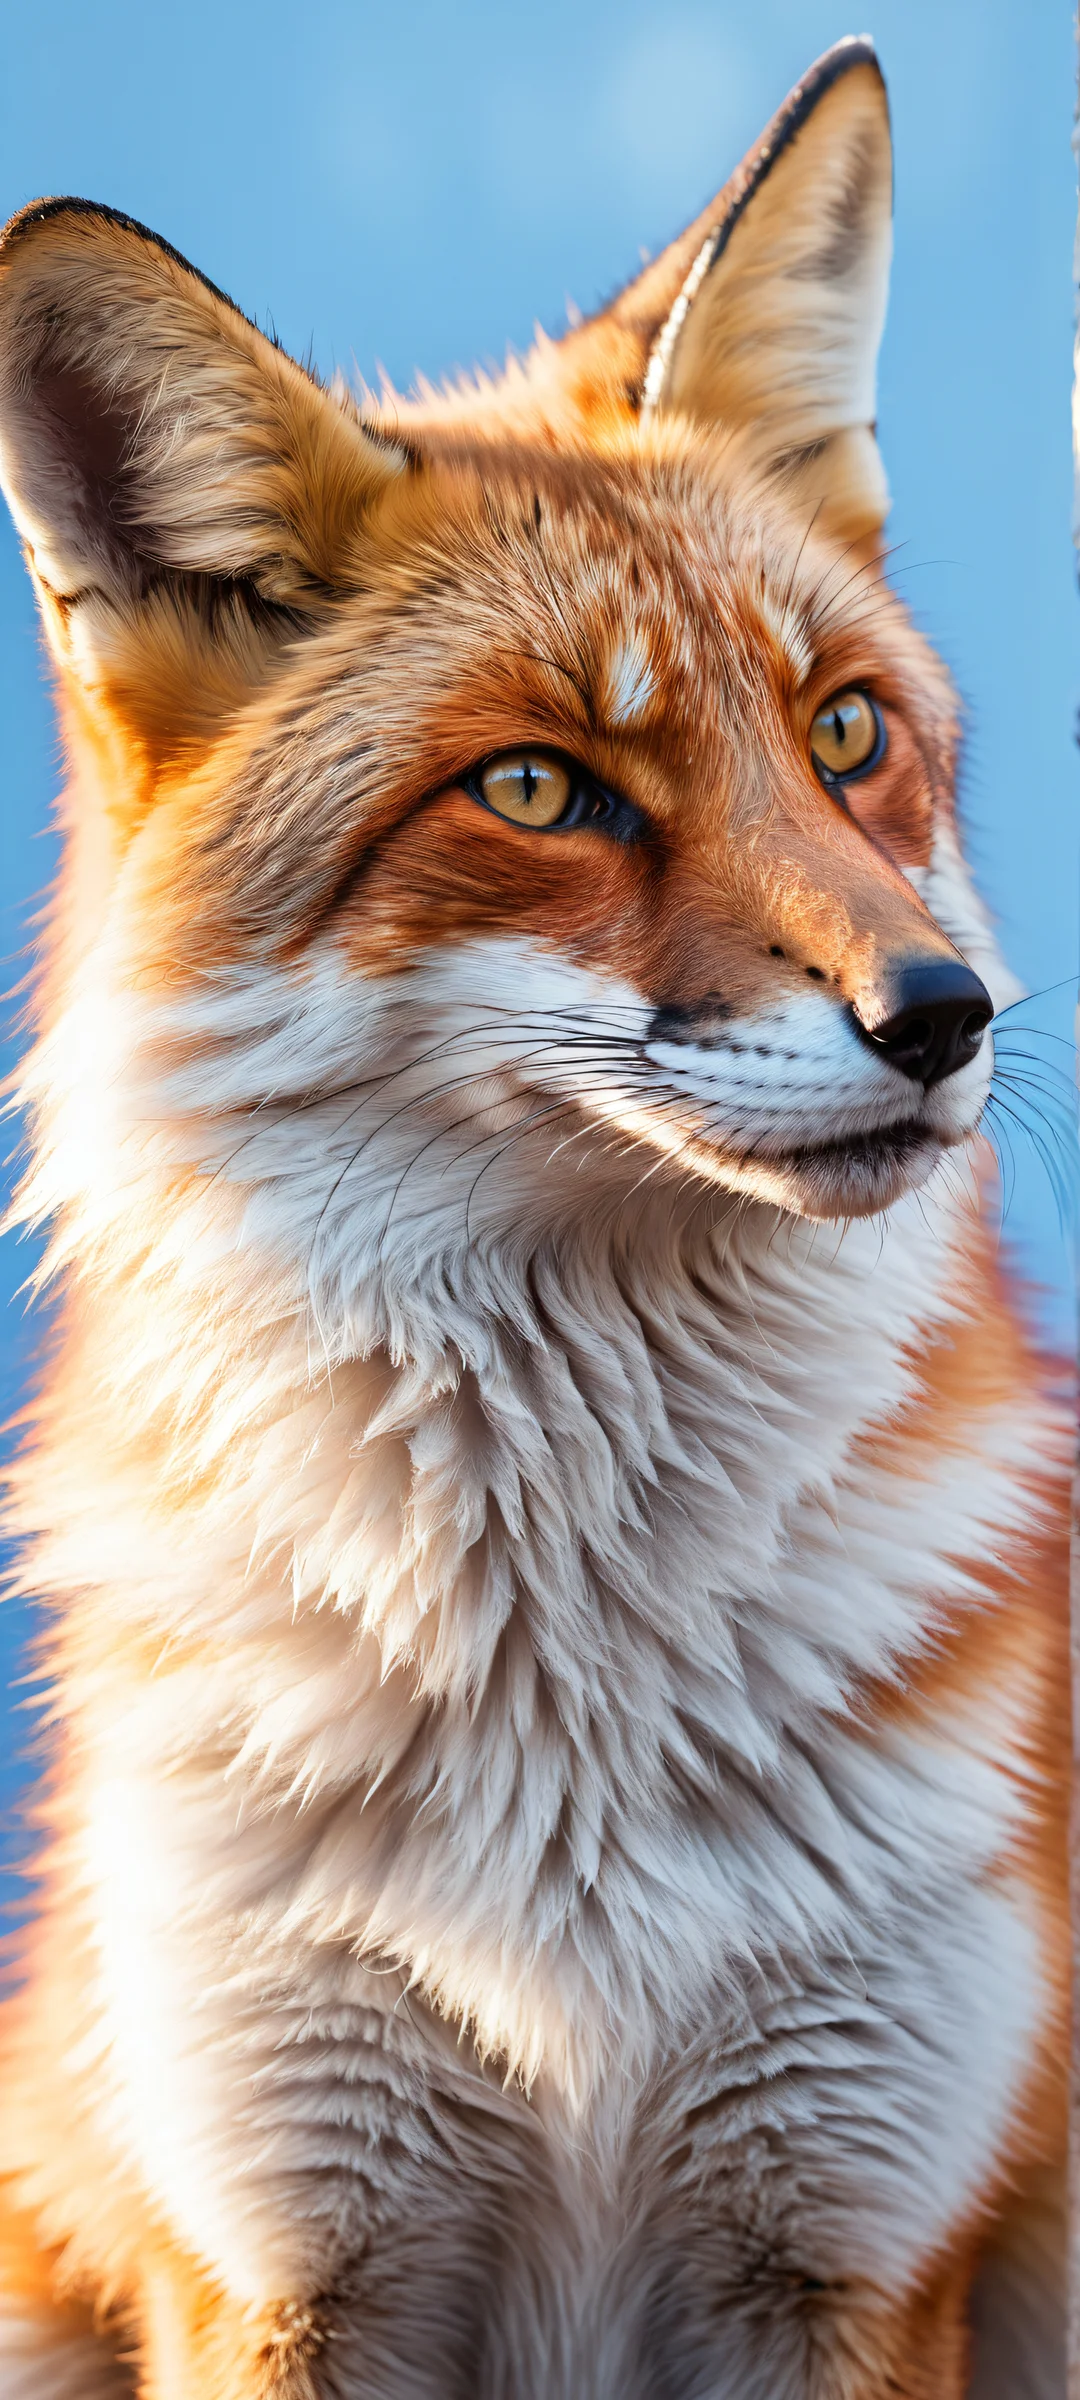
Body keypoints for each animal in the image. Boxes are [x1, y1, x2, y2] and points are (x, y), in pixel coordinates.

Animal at [0, 32, 1067, 2400]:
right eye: (537, 790)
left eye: (845, 734)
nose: (943, 1018)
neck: (564, 1715)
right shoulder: (279, 2252)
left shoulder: (853, 2240)